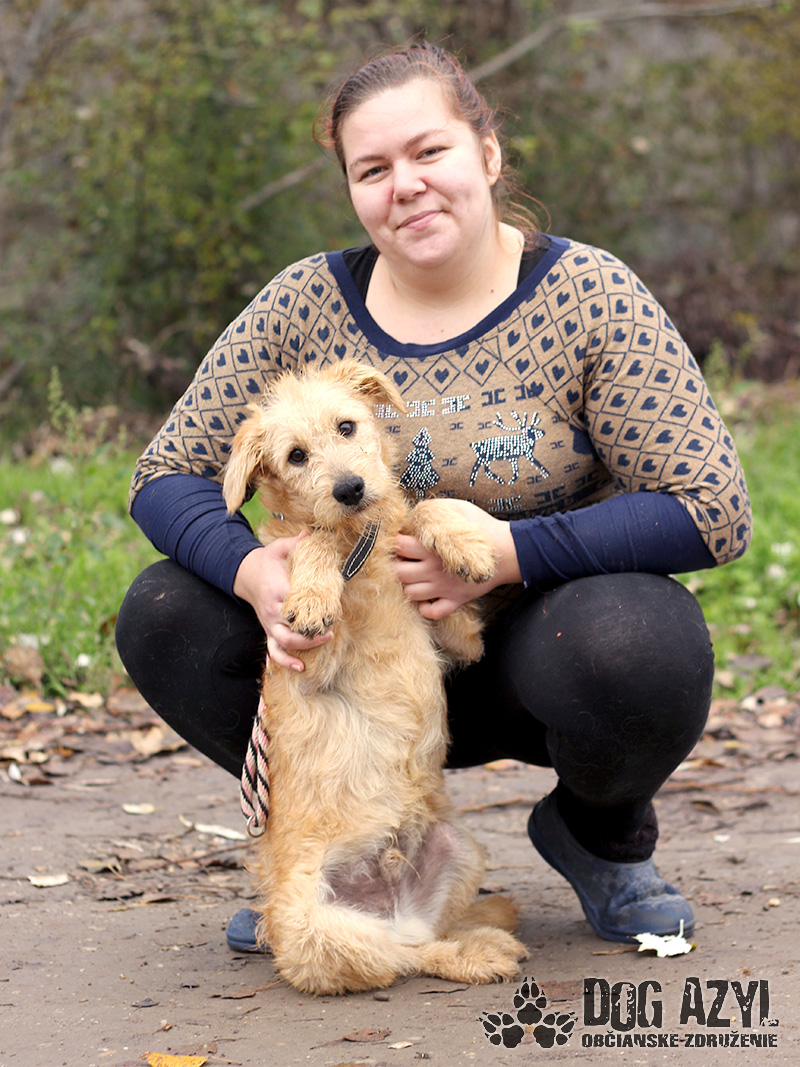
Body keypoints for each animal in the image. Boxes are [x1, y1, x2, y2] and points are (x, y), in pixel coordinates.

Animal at [222, 359, 528, 994]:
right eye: (295, 456)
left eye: (347, 426)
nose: (350, 489)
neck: (359, 543)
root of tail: (390, 905)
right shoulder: (303, 663)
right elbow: (311, 545)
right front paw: (313, 594)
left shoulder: (458, 634)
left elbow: (422, 509)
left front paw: (465, 544)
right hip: (317, 929)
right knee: (400, 958)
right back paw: (480, 952)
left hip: (460, 845)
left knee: (424, 938)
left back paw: (480, 938)